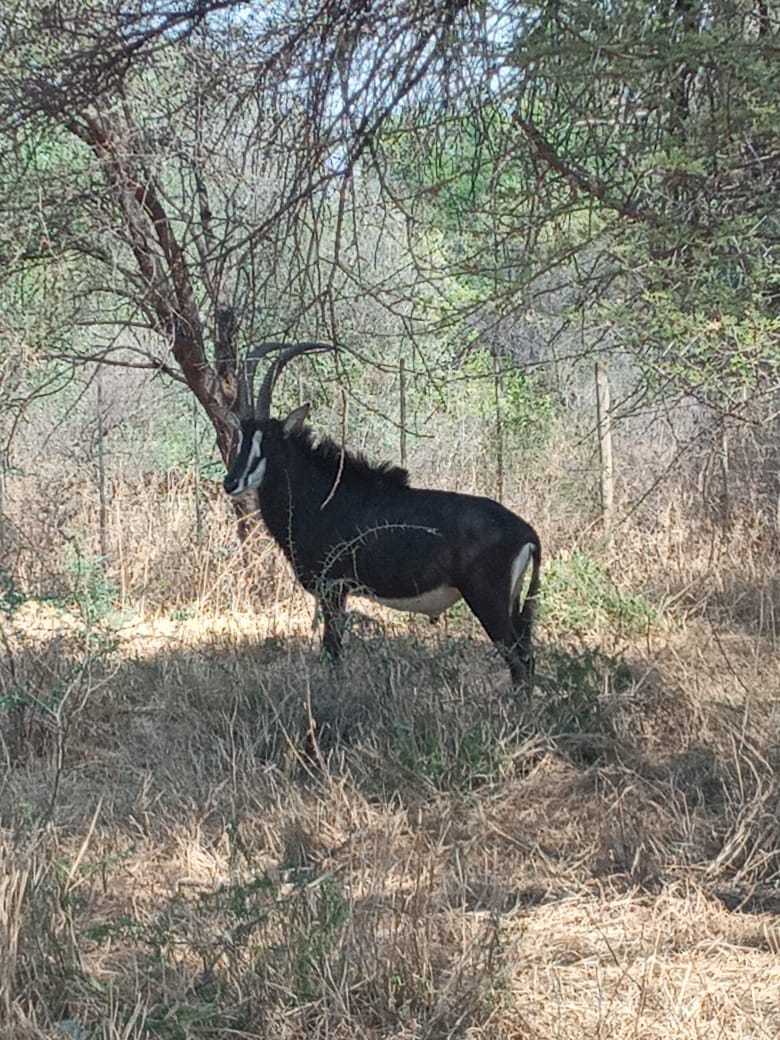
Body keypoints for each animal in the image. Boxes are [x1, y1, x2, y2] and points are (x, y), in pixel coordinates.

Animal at [223, 343, 541, 688]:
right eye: (241, 436)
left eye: (267, 441)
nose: (231, 483)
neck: (322, 497)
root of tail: (527, 533)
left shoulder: (334, 589)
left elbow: (332, 653)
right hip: (511, 603)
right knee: (526, 659)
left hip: (488, 601)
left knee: (518, 663)